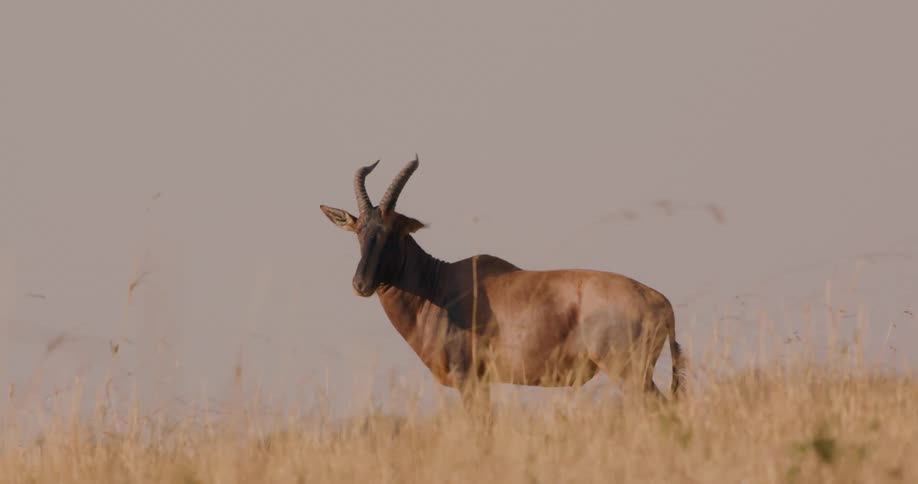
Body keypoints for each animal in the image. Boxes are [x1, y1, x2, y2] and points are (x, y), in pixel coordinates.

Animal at [319, 156, 686, 413]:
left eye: (393, 232)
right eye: (359, 231)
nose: (361, 284)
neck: (438, 287)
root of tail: (661, 302)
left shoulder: (469, 380)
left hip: (629, 374)